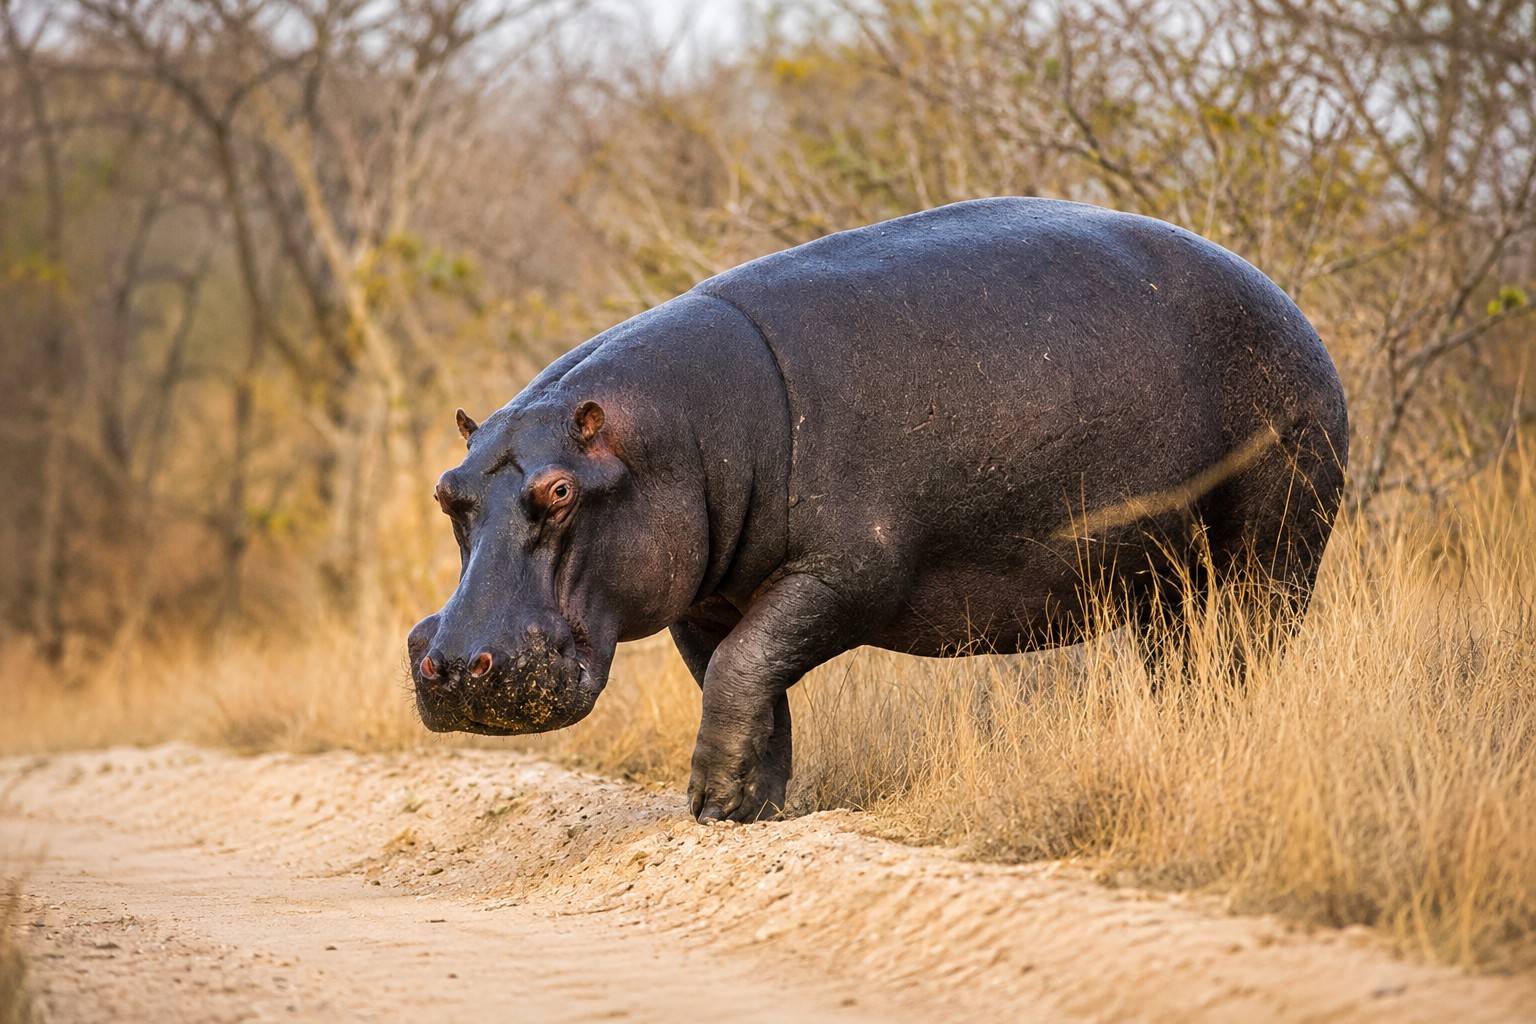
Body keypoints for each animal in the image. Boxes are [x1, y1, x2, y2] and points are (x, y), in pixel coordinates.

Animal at [407, 197, 1348, 822]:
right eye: (448, 491)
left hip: (1273, 549)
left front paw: (707, 799)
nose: (450, 662)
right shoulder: (699, 598)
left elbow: (746, 666)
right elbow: (743, 680)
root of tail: (1291, 308)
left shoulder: (850, 573)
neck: (676, 434)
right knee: (1181, 663)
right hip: (1163, 580)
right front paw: (745, 808)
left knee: (1248, 647)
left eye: (559, 491)